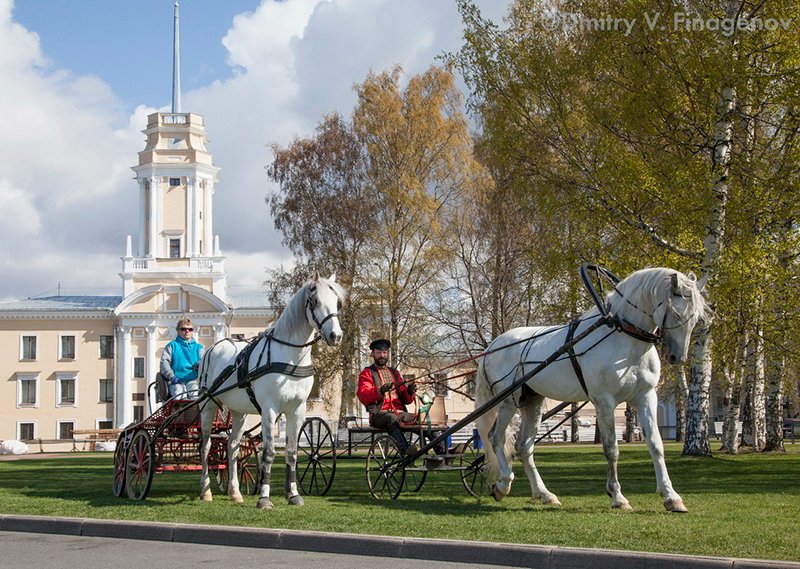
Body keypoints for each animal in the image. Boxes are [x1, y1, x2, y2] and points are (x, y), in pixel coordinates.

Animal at [197, 272, 344, 508]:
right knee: (206, 446)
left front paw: (293, 494)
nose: (335, 336)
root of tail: (213, 347)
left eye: (337, 302)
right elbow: (268, 453)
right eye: (314, 301)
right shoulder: (270, 409)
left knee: (232, 446)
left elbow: (292, 452)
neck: (290, 358)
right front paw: (264, 498)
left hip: (238, 412)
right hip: (207, 405)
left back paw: (235, 492)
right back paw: (205, 490)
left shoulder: (297, 410)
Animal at [472, 266, 708, 510]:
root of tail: (494, 345)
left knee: (524, 447)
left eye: (697, 319)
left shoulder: (646, 397)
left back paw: (544, 494)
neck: (624, 338)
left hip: (532, 402)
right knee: (496, 437)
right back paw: (503, 484)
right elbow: (611, 449)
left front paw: (671, 496)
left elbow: (656, 445)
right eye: (677, 314)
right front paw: (617, 496)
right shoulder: (604, 401)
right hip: (508, 401)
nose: (677, 357)